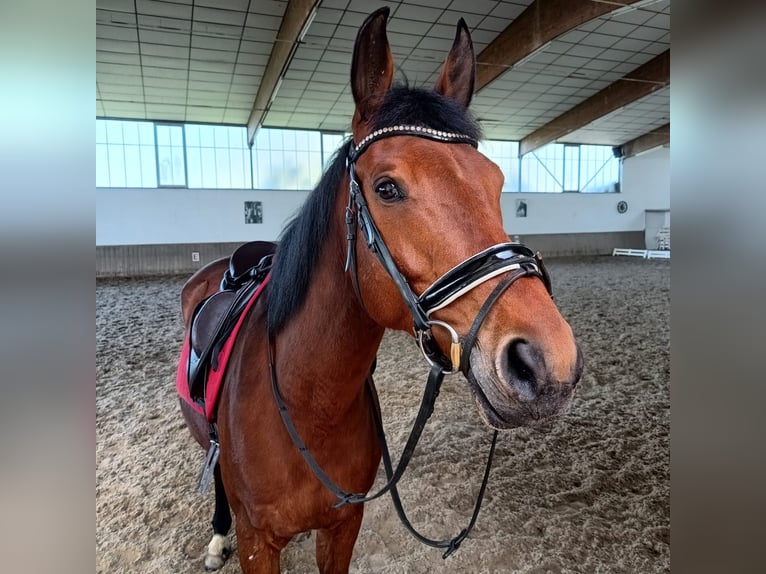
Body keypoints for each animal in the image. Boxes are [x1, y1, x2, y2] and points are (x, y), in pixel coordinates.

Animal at [176, 7, 583, 573]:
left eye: (497, 182)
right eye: (386, 188)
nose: (548, 362)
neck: (309, 404)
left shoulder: (344, 527)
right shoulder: (258, 543)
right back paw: (217, 536)